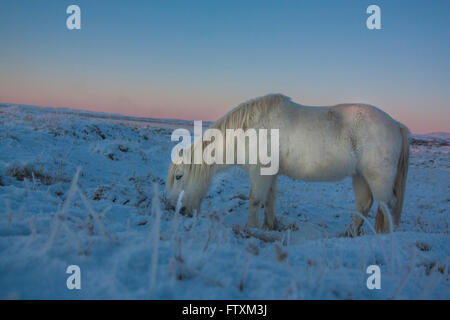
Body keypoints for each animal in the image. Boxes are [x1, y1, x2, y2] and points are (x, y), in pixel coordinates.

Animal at [167, 94, 410, 234]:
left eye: (179, 176)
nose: (177, 209)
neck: (249, 129)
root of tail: (396, 124)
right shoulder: (271, 174)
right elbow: (270, 201)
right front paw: (270, 227)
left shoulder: (260, 173)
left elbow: (255, 200)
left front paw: (250, 228)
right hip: (359, 176)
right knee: (364, 204)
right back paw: (350, 234)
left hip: (377, 177)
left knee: (387, 205)